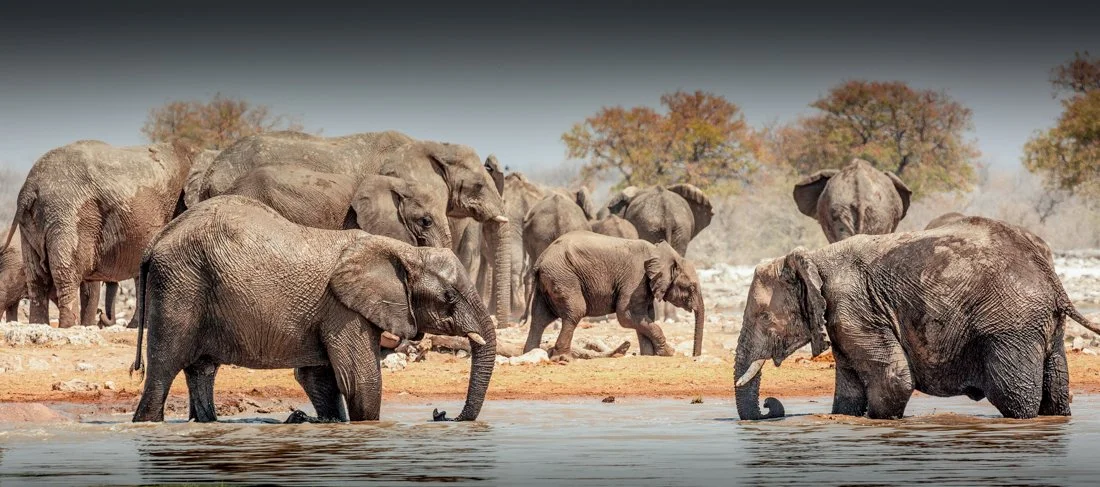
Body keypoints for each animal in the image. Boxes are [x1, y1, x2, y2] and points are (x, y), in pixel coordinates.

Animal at [9, 140, 205, 328]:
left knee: (36, 278)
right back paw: (69, 327)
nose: (102, 315)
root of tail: (29, 188)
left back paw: (40, 325)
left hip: (33, 223)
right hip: (65, 214)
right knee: (66, 274)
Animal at [131, 195, 496, 423]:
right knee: (163, 370)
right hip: (179, 288)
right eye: (449, 298)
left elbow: (319, 378)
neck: (403, 251)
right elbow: (360, 380)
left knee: (201, 371)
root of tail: (154, 243)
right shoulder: (343, 311)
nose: (441, 414)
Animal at [523, 231, 705, 358]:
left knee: (540, 317)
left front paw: (649, 355)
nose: (694, 357)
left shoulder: (643, 285)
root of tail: (540, 260)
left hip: (548, 282)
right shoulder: (636, 277)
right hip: (563, 277)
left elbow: (645, 317)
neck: (659, 252)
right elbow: (626, 315)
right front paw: (669, 352)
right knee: (575, 311)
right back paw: (563, 358)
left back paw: (531, 353)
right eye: (691, 287)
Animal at [734, 215, 1100, 420]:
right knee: (1055, 389)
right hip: (1042, 327)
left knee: (1013, 396)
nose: (771, 406)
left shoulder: (855, 309)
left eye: (764, 318)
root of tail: (1052, 280)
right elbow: (850, 391)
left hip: (1009, 326)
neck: (813, 258)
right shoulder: (845, 320)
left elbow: (894, 379)